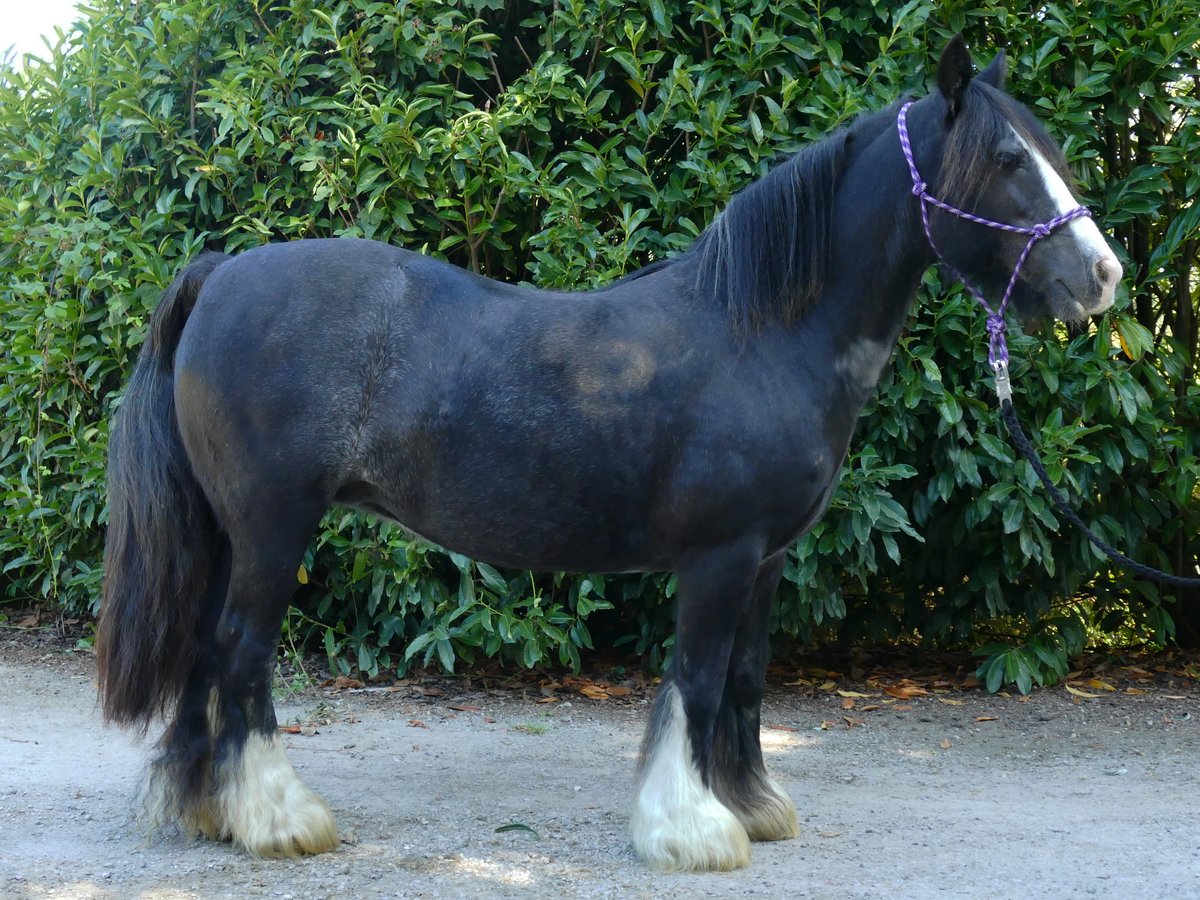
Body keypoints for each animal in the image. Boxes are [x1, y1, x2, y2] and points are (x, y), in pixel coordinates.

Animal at [100, 37, 1113, 873]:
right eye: (1009, 160)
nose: (1101, 277)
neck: (763, 333)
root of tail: (221, 272)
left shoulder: (766, 560)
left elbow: (745, 680)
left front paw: (752, 806)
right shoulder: (718, 557)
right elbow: (696, 682)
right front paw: (692, 829)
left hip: (230, 535)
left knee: (204, 651)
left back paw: (211, 811)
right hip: (273, 530)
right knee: (241, 653)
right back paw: (280, 818)